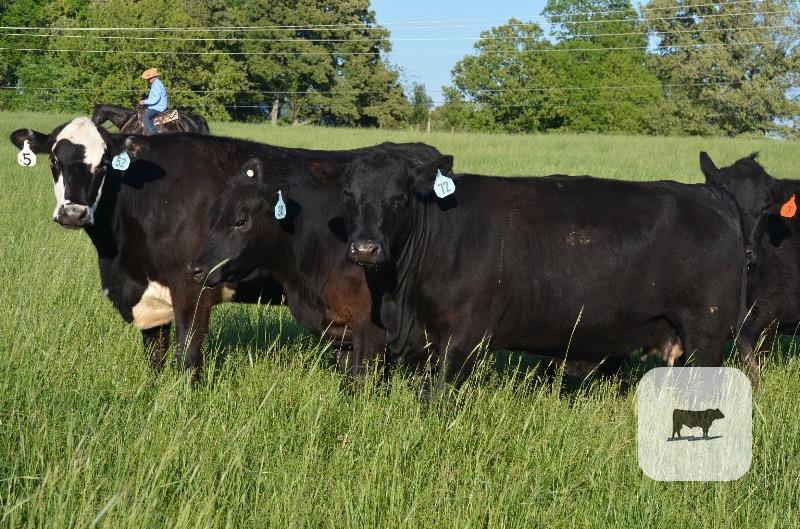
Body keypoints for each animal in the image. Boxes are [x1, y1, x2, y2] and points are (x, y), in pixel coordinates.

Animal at [340, 151, 782, 400]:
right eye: (349, 195)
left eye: (399, 198)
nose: (365, 248)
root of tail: (710, 195)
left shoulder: (463, 335)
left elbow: (436, 396)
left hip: (706, 332)